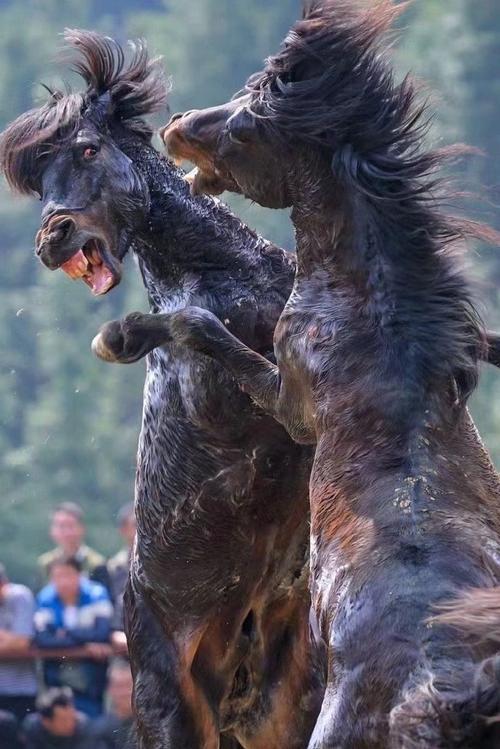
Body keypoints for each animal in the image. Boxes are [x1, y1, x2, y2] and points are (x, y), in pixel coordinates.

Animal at [0, 31, 324, 748]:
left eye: (88, 149)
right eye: (40, 178)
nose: (52, 238)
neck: (230, 274)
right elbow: (190, 323)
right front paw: (118, 337)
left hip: (286, 703)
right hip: (176, 709)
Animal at [110, 1, 500, 745]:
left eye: (243, 127)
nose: (178, 125)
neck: (376, 318)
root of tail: (442, 683)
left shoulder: (293, 404)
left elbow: (200, 327)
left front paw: (123, 335)